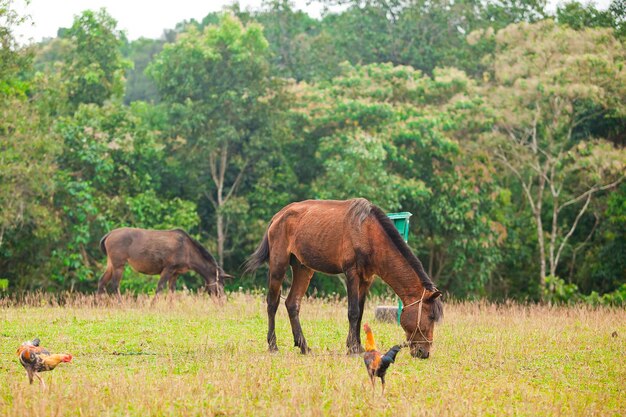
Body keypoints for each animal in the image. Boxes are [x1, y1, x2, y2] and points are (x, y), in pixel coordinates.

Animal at [98, 228, 230, 296]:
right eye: (221, 283)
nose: (222, 299)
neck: (191, 259)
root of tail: (107, 236)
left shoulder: (176, 272)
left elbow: (171, 290)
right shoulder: (169, 267)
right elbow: (160, 287)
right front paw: (152, 307)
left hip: (110, 262)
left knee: (102, 281)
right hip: (119, 263)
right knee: (115, 284)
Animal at [241, 198, 442, 358]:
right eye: (430, 316)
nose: (424, 353)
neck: (368, 232)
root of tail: (277, 216)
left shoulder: (367, 278)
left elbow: (360, 312)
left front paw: (357, 346)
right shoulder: (351, 273)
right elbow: (353, 311)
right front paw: (352, 348)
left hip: (303, 268)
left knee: (292, 303)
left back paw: (304, 346)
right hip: (278, 264)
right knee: (272, 303)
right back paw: (273, 345)